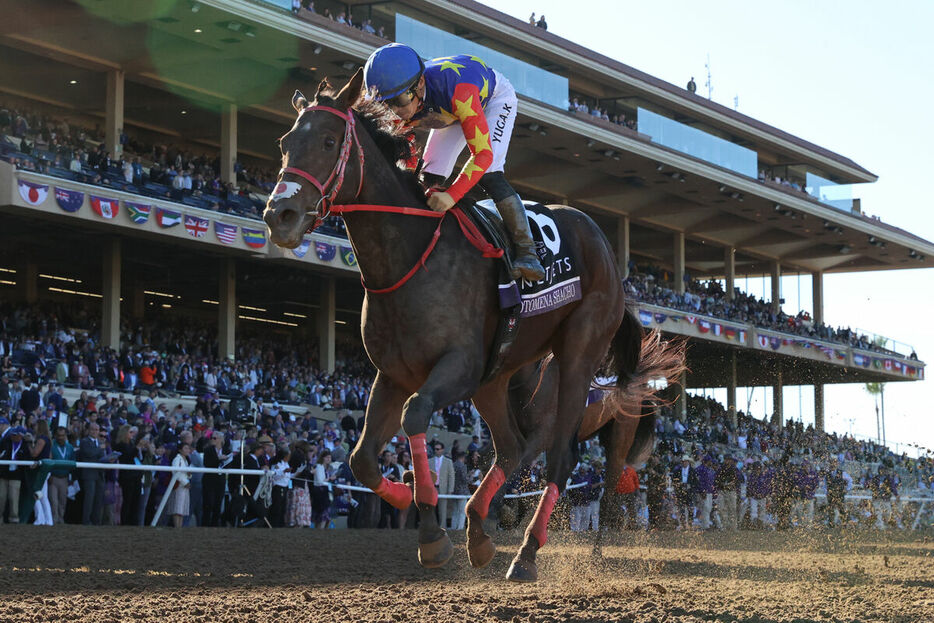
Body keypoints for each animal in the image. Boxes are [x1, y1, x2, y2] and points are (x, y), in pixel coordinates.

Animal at [264, 70, 688, 584]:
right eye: (285, 143)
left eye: (328, 141)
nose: (279, 216)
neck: (410, 257)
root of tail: (602, 241)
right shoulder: (393, 374)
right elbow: (360, 458)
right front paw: (408, 498)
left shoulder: (459, 368)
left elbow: (415, 416)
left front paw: (430, 529)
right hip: (496, 378)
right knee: (509, 448)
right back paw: (480, 532)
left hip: (580, 359)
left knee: (565, 460)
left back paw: (530, 553)